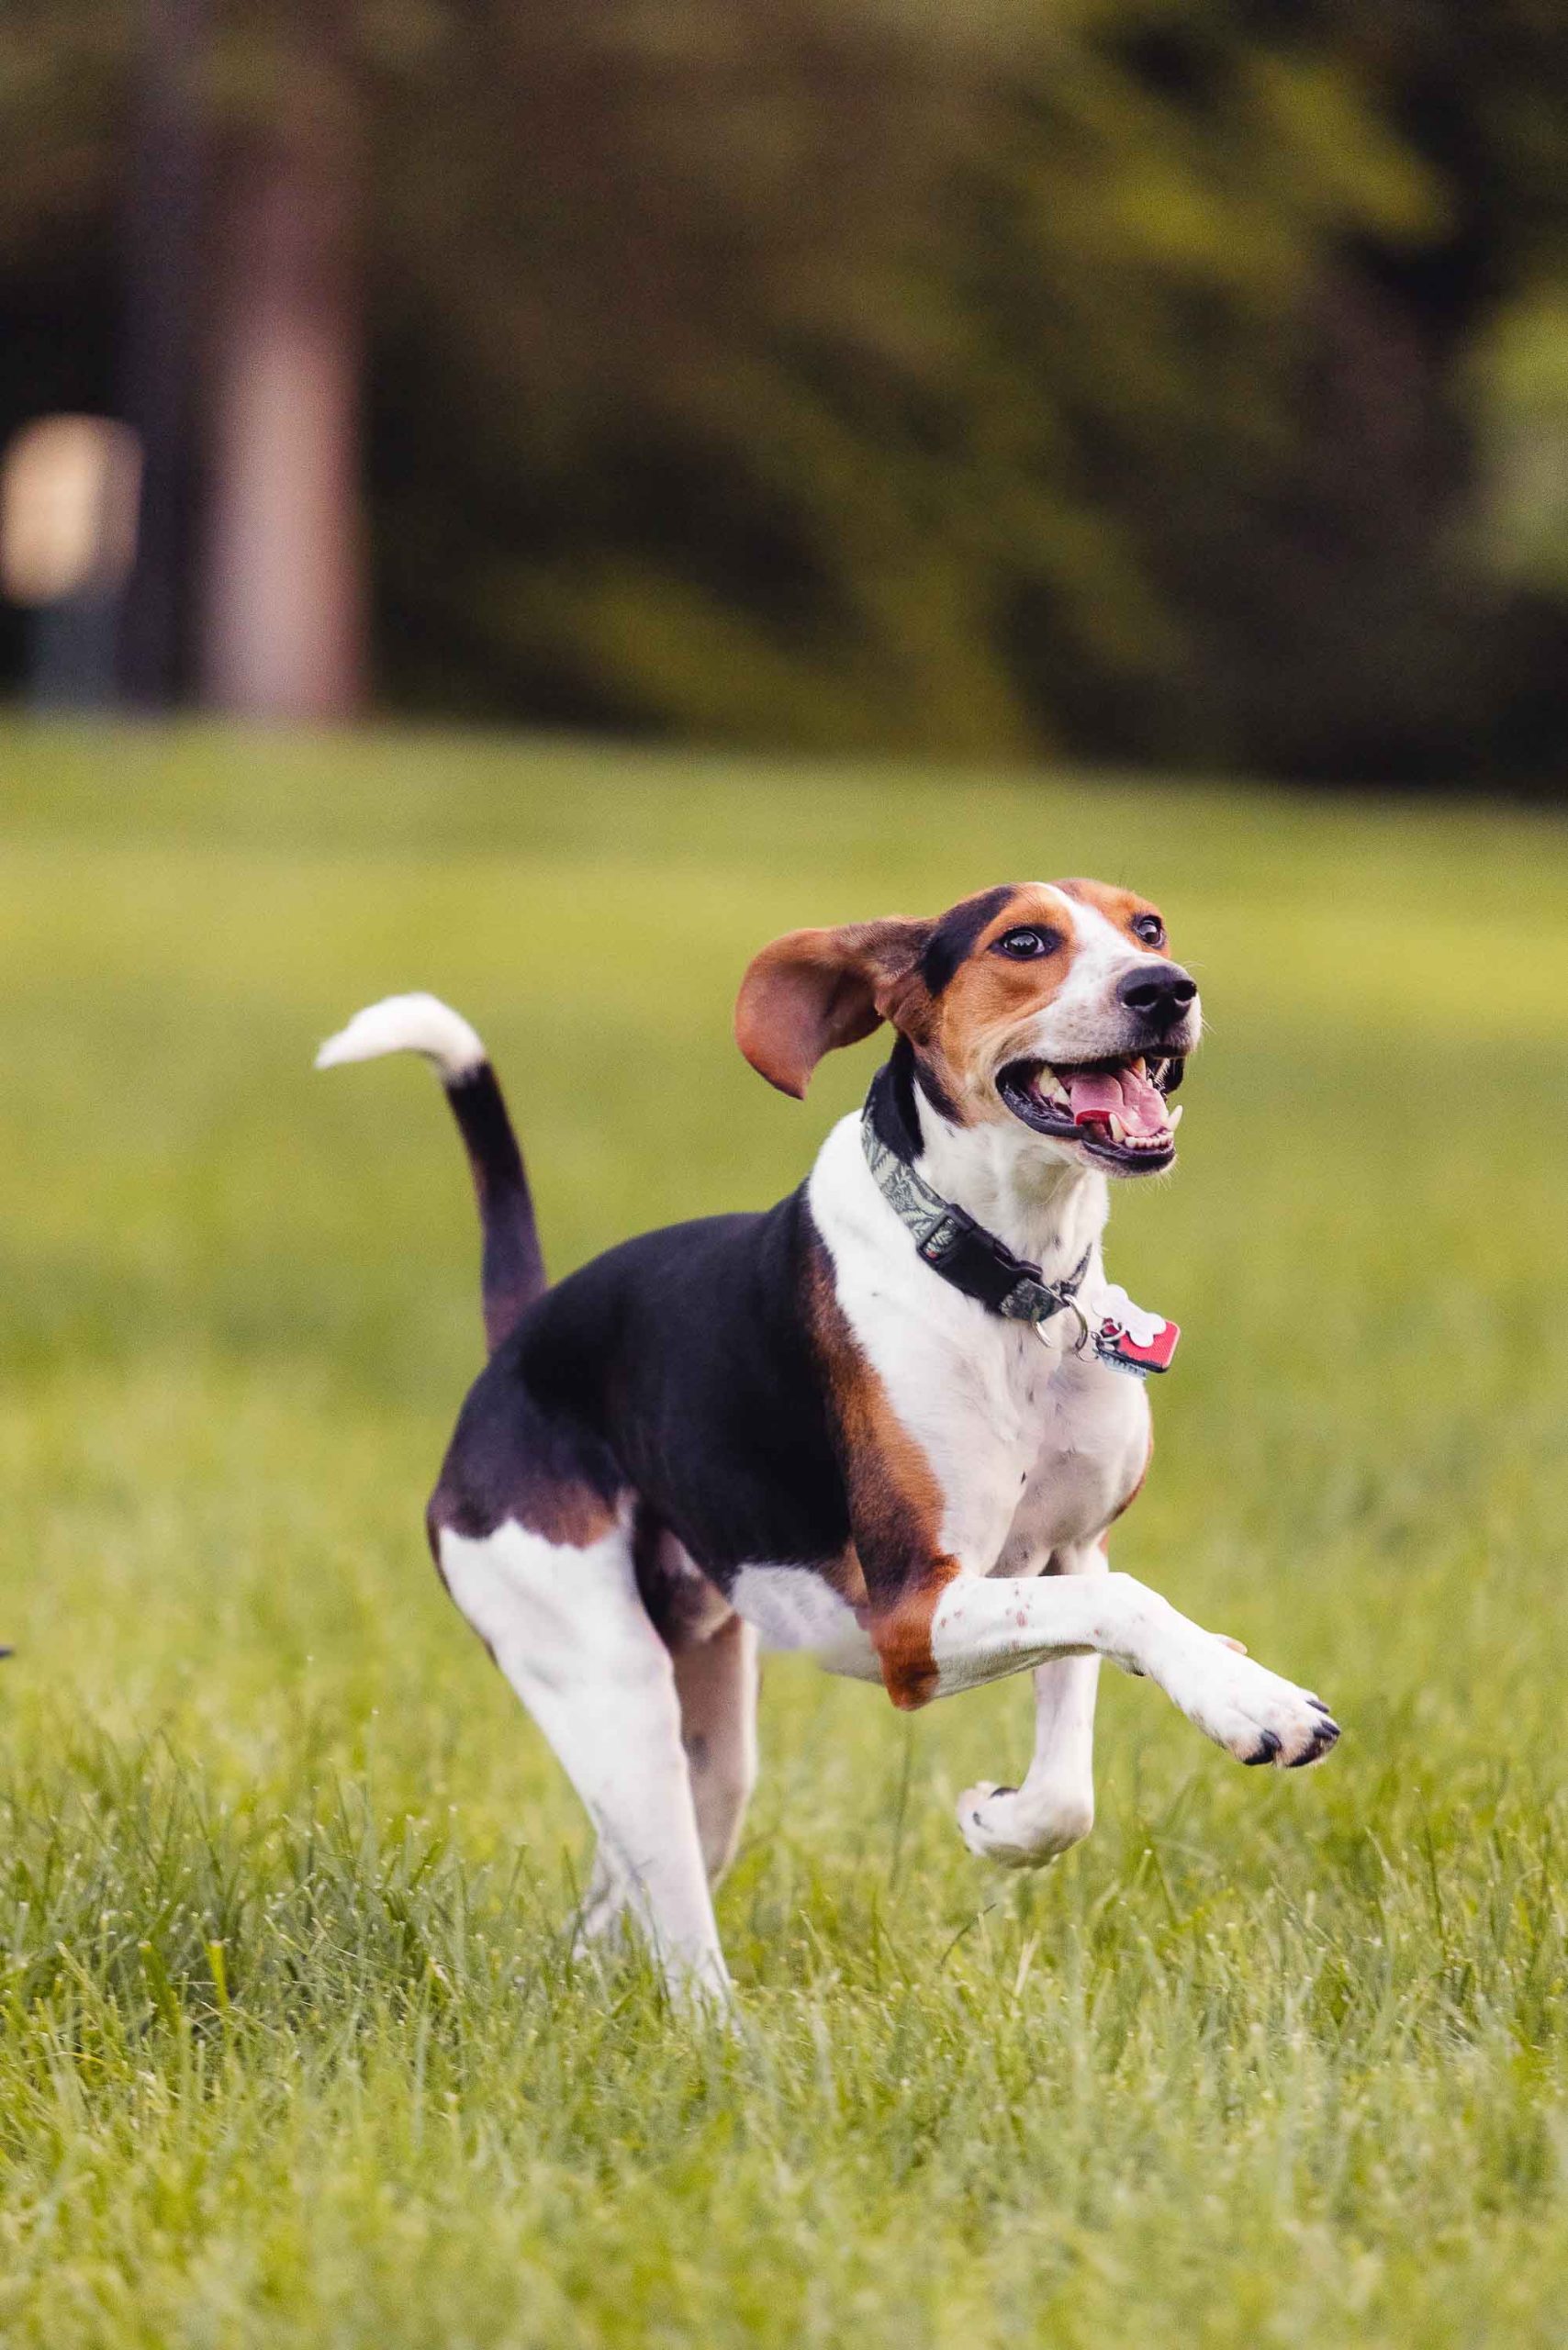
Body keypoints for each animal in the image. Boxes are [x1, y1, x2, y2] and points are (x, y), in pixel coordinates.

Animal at [315, 883, 1335, 2002]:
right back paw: (725, 2034)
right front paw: (1253, 1699)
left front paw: (998, 1819)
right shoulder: (910, 1617)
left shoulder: (1070, 1550)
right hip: (612, 1689)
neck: (1008, 1280)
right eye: (1023, 940)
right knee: (683, 1943)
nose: (1165, 989)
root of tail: (520, 1343)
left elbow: (1070, 1782)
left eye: (1147, 926)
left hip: (710, 1745)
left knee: (612, 1917)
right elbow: (1132, 1606)